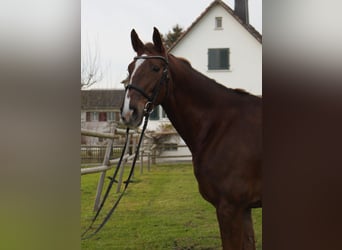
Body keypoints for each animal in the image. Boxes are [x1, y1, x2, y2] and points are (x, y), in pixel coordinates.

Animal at [120, 27, 262, 250]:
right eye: (130, 68)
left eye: (155, 68)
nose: (128, 113)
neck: (221, 125)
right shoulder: (244, 209)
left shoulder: (230, 208)